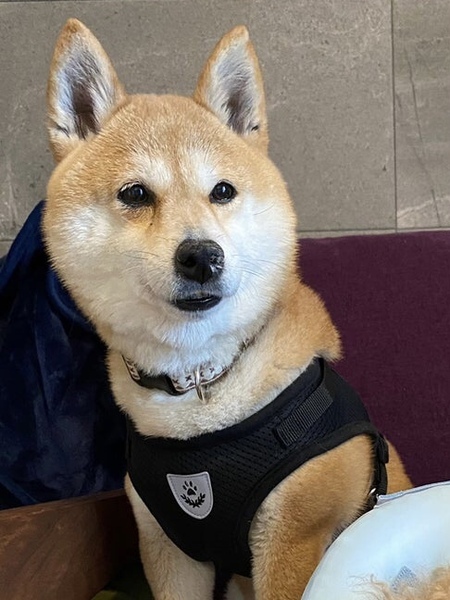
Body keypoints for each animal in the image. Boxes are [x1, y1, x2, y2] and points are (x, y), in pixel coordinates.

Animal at [42, 19, 411, 600]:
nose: (201, 255)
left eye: (222, 191)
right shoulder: (168, 547)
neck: (198, 384)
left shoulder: (290, 541)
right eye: (135, 194)